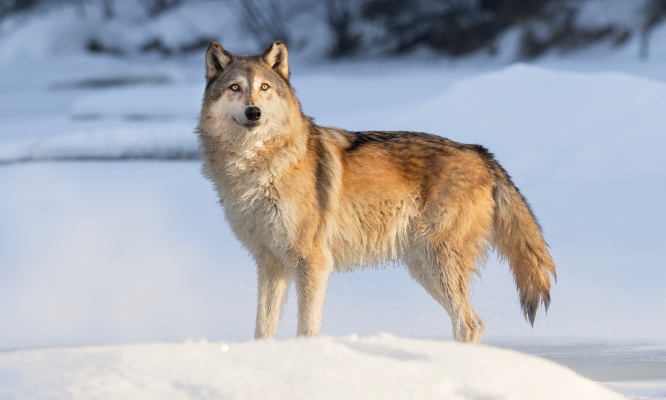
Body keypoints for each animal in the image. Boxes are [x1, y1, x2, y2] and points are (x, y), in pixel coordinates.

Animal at [197, 41, 556, 343]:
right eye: (235, 88)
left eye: (265, 88)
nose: (253, 112)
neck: (258, 166)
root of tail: (480, 152)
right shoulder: (270, 264)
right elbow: (263, 329)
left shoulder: (312, 262)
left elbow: (306, 328)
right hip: (422, 266)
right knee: (469, 322)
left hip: (435, 261)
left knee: (469, 323)